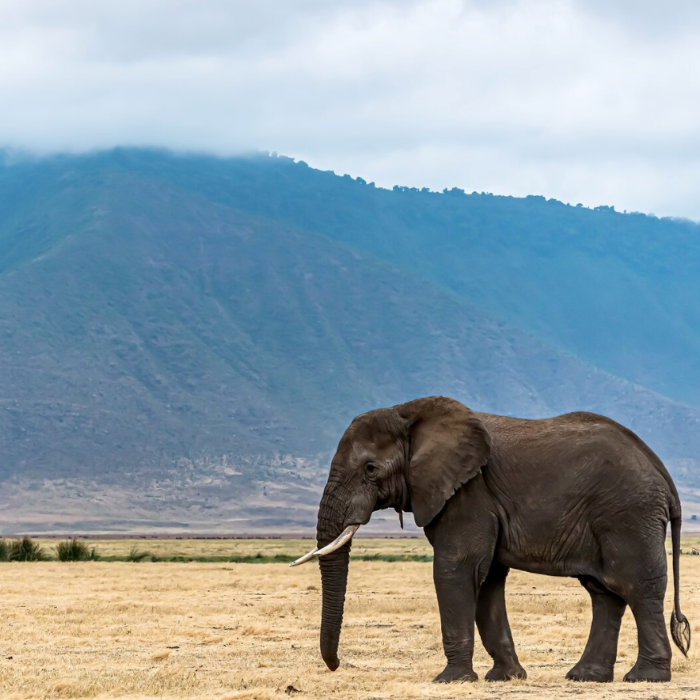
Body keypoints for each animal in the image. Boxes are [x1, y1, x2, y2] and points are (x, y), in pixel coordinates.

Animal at [290, 396, 688, 680]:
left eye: (370, 469)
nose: (336, 665)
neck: (410, 412)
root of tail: (663, 475)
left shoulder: (469, 494)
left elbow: (457, 570)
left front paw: (450, 680)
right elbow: (487, 579)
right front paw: (505, 677)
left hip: (629, 515)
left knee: (636, 586)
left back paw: (646, 678)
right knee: (604, 592)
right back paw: (584, 677)